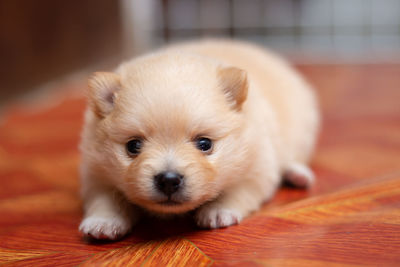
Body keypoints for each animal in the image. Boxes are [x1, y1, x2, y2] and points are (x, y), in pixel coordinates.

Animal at [79, 39, 320, 241]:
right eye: (133, 146)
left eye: (205, 144)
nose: (169, 180)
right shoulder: (95, 170)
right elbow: (105, 197)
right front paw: (103, 222)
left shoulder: (258, 165)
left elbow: (239, 190)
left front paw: (218, 211)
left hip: (302, 129)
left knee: (293, 157)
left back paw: (298, 174)